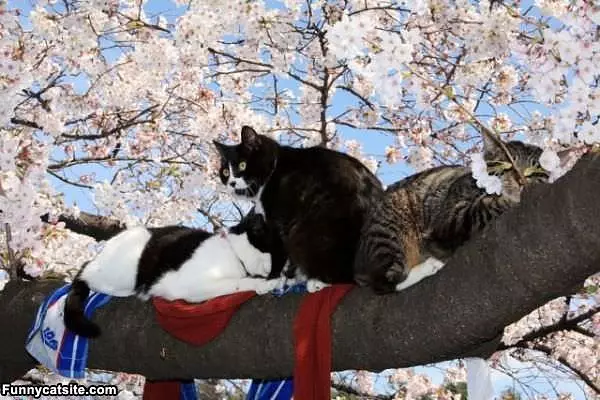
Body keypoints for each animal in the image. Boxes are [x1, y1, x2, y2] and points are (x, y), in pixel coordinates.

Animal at [63, 211, 284, 340]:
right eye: (278, 253)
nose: (284, 271)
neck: (233, 253)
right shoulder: (187, 284)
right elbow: (237, 283)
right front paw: (264, 284)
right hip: (123, 272)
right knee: (87, 272)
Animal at [354, 136, 556, 296]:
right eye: (506, 163)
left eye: (536, 171)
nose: (520, 179)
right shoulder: (451, 220)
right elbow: (483, 208)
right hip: (389, 231)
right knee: (384, 282)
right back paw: (429, 266)